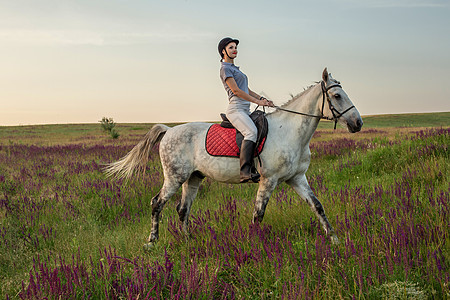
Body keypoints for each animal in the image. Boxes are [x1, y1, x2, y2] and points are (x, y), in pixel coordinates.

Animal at [104, 68, 362, 248]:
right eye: (337, 95)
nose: (358, 123)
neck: (290, 131)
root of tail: (168, 130)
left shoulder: (297, 178)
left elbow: (317, 205)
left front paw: (335, 238)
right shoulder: (268, 180)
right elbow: (258, 214)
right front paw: (254, 243)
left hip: (193, 178)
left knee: (182, 209)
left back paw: (188, 240)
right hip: (174, 178)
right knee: (157, 203)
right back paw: (152, 241)